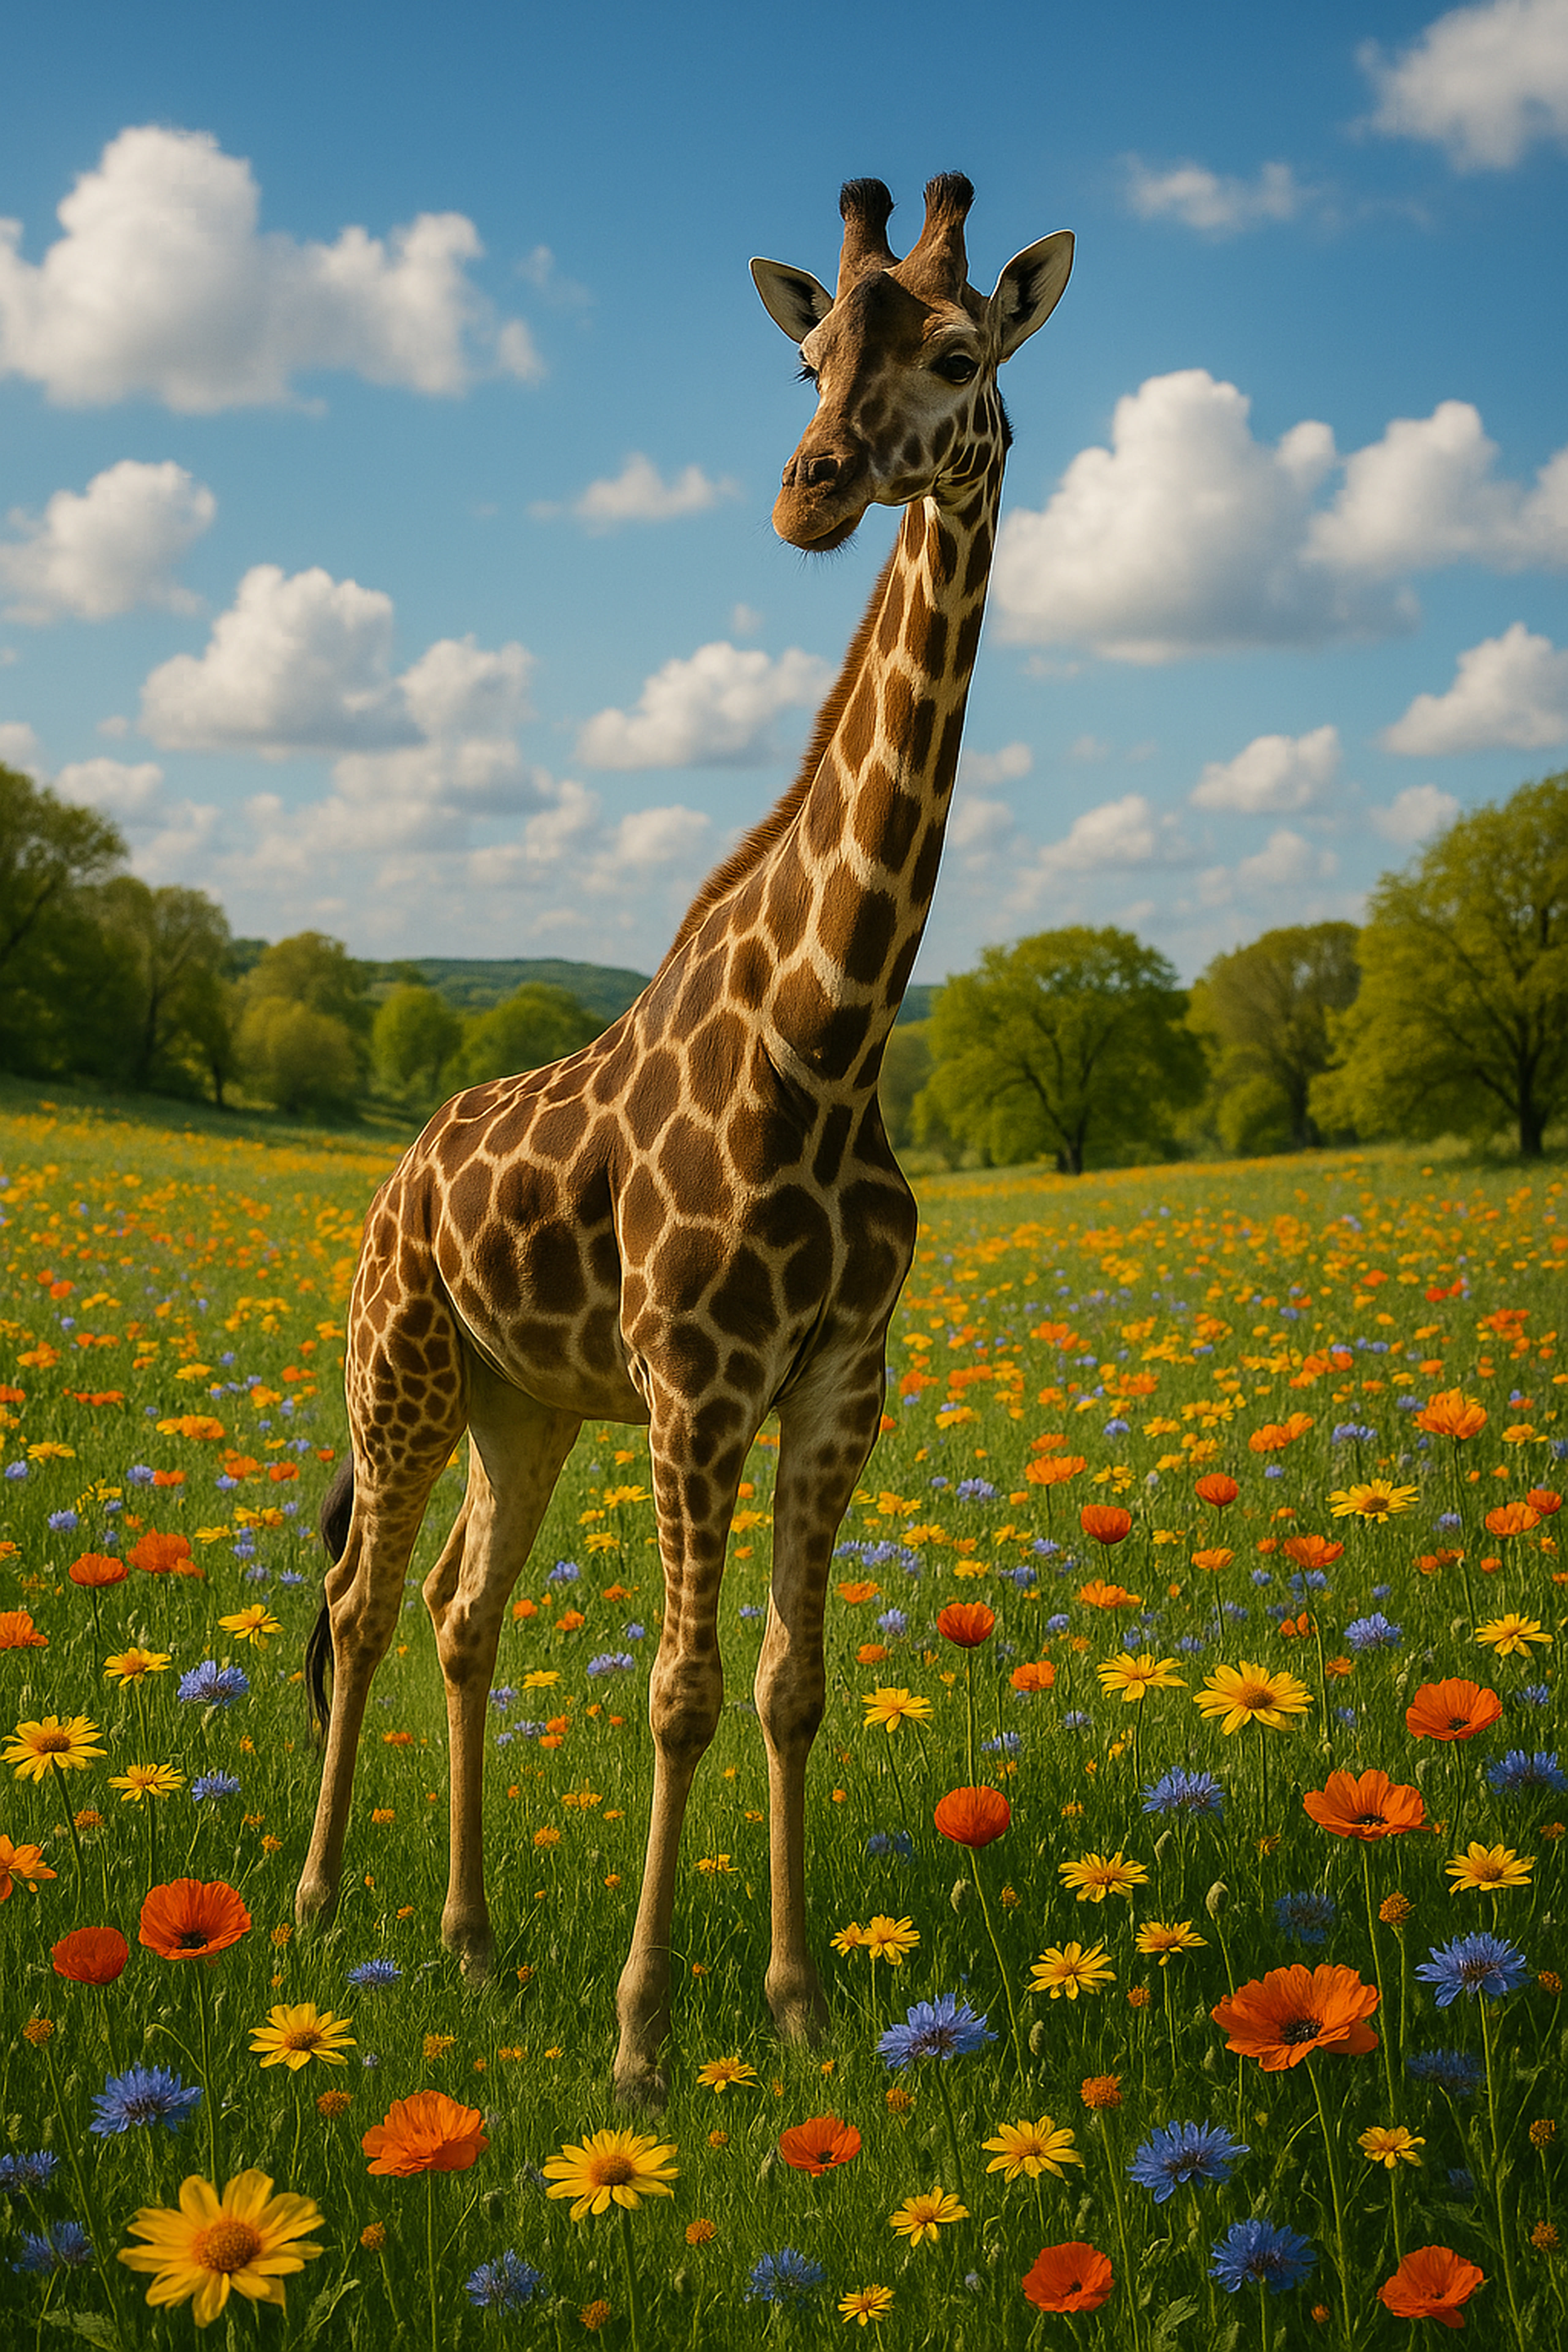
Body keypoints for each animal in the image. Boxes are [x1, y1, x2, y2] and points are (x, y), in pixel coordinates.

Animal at [295, 173, 1073, 2105]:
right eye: (806, 359)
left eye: (959, 354)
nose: (812, 486)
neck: (837, 1035)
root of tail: (397, 1173)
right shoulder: (699, 1382)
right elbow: (681, 1689)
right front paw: (644, 2043)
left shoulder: (836, 1381)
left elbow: (789, 1684)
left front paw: (797, 2007)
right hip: (401, 1367)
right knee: (358, 1599)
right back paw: (319, 1905)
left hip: (525, 1406)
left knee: (461, 1613)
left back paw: (470, 1941)